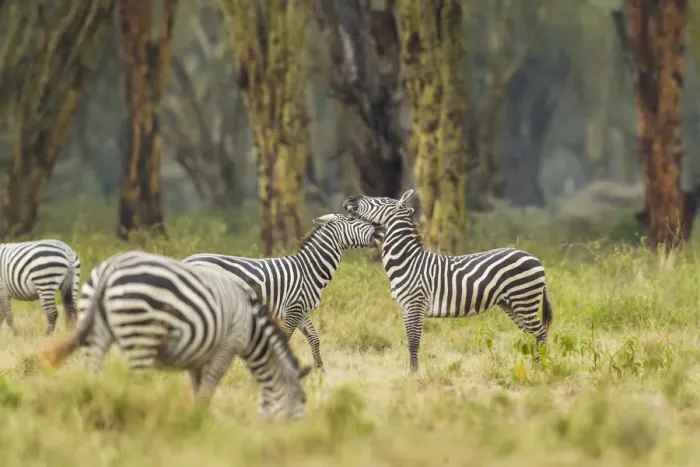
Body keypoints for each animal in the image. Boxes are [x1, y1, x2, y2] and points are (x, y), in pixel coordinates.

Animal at [39, 251, 311, 419]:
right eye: (302, 400)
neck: (253, 326)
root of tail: (110, 270)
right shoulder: (227, 347)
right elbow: (209, 385)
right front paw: (200, 418)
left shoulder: (201, 352)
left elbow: (198, 385)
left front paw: (196, 416)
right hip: (140, 335)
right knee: (134, 379)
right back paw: (135, 411)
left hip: (97, 333)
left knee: (93, 372)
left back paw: (96, 405)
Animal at [183, 213, 384, 371]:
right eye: (351, 219)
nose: (380, 228)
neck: (308, 270)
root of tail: (186, 260)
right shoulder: (293, 309)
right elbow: (283, 341)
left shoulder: (302, 310)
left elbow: (314, 338)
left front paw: (320, 371)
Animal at [343, 189, 554, 373]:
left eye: (382, 200)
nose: (350, 198)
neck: (407, 261)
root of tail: (536, 259)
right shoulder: (405, 309)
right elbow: (410, 341)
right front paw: (411, 371)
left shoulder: (415, 305)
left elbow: (414, 342)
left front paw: (413, 374)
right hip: (511, 304)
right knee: (532, 335)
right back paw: (534, 367)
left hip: (524, 299)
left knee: (540, 333)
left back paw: (541, 369)